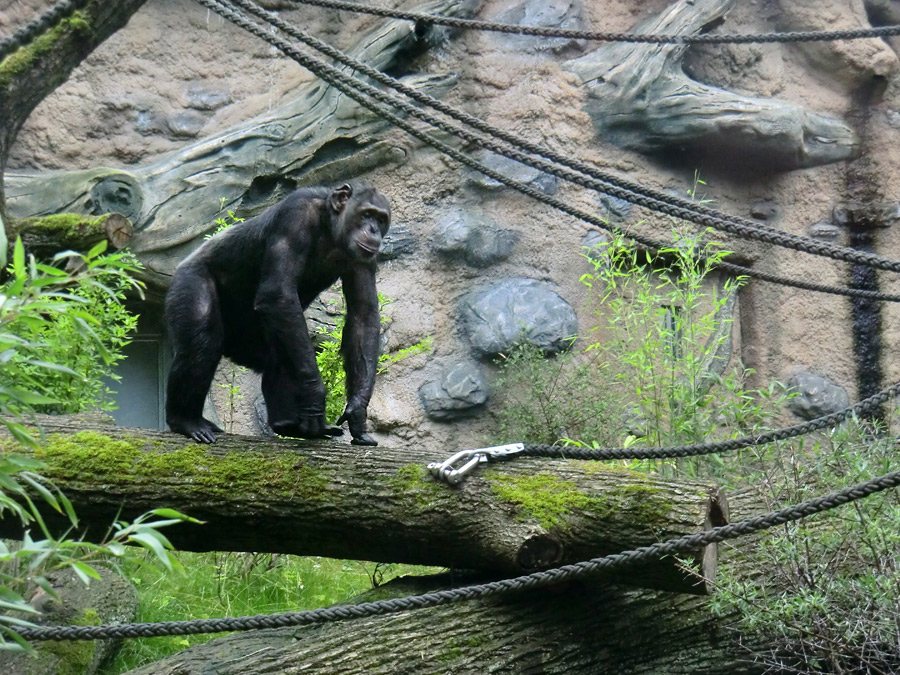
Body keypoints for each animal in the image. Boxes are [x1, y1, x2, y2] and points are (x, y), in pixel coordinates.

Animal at [165, 185, 390, 446]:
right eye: (367, 214)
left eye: (381, 219)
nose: (373, 230)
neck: (331, 228)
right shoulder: (294, 215)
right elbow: (278, 294)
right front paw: (315, 398)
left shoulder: (365, 257)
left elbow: (363, 316)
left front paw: (357, 412)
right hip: (190, 279)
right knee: (202, 339)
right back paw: (186, 420)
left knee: (282, 347)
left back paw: (288, 424)